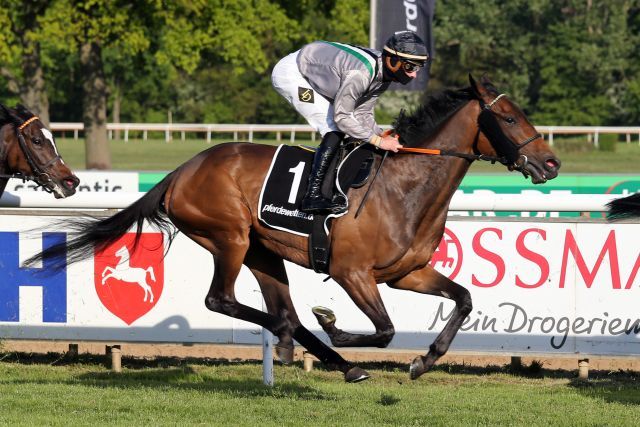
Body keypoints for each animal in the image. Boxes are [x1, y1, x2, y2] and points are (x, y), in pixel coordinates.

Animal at [28, 75, 560, 382]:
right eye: (508, 117)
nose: (551, 162)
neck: (404, 187)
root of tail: (182, 170)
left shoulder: (404, 273)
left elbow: (464, 299)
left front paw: (423, 360)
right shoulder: (351, 272)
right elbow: (384, 329)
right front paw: (338, 327)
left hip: (263, 251)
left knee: (279, 307)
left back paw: (334, 361)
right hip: (230, 237)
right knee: (223, 301)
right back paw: (308, 342)